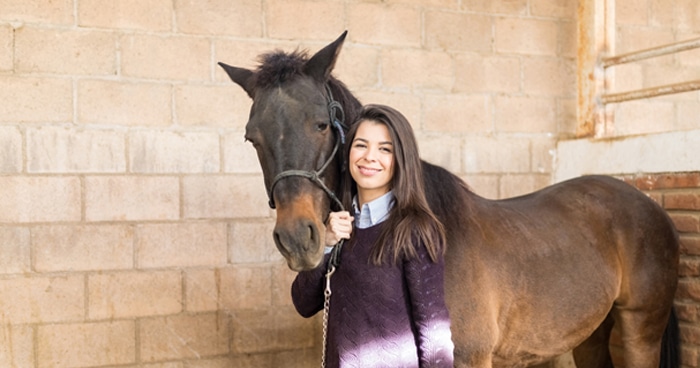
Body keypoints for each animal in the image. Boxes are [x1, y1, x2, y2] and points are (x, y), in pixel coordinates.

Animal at [219, 32, 680, 368]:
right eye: (252, 138)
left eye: (319, 124)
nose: (298, 239)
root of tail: (648, 204)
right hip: (589, 333)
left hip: (641, 328)